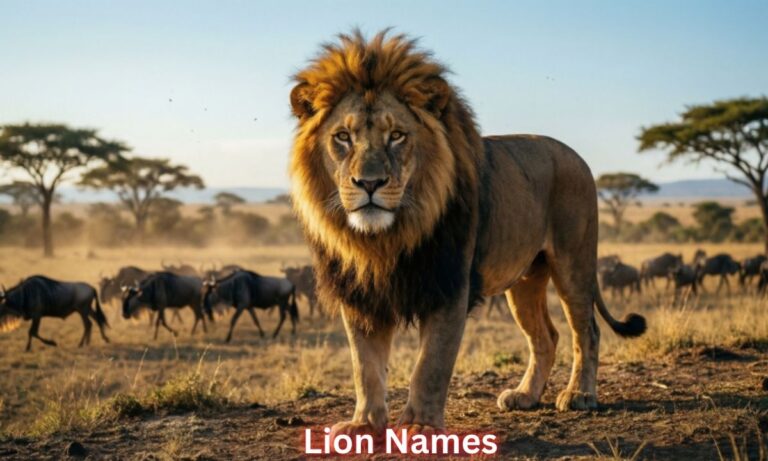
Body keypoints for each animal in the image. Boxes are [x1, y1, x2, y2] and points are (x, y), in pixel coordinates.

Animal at [288, 30, 646, 437]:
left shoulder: (450, 286)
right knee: (546, 336)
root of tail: (579, 158)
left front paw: (421, 427)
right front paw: (363, 425)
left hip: (574, 263)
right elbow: (365, 367)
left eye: (397, 135)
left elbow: (431, 364)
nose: (369, 183)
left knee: (587, 330)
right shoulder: (361, 294)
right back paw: (525, 395)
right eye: (343, 137)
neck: (385, 239)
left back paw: (580, 395)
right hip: (524, 281)